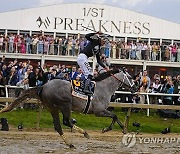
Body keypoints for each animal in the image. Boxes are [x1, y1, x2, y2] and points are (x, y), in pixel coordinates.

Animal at [0, 69, 136, 148]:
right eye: (130, 77)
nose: (135, 88)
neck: (104, 87)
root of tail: (43, 86)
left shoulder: (100, 111)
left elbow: (114, 116)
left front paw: (122, 130)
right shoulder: (99, 111)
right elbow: (114, 116)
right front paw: (113, 129)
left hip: (52, 108)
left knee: (58, 126)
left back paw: (70, 144)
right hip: (65, 105)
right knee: (66, 121)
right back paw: (85, 133)